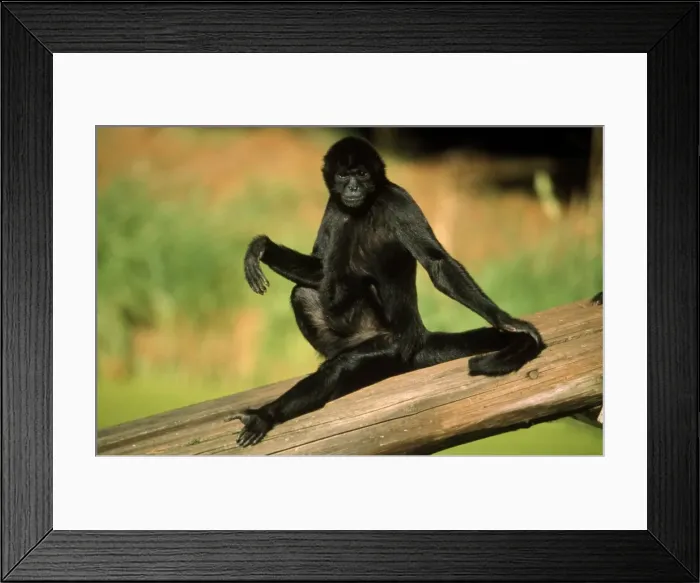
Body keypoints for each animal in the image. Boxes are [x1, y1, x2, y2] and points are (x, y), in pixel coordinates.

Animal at [228, 136, 545, 447]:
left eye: (361, 174)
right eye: (343, 176)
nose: (353, 187)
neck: (365, 207)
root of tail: (419, 337)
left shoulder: (398, 199)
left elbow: (437, 263)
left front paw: (505, 320)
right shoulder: (334, 204)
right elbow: (320, 269)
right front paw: (263, 248)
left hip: (390, 345)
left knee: (342, 362)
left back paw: (265, 415)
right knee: (304, 293)